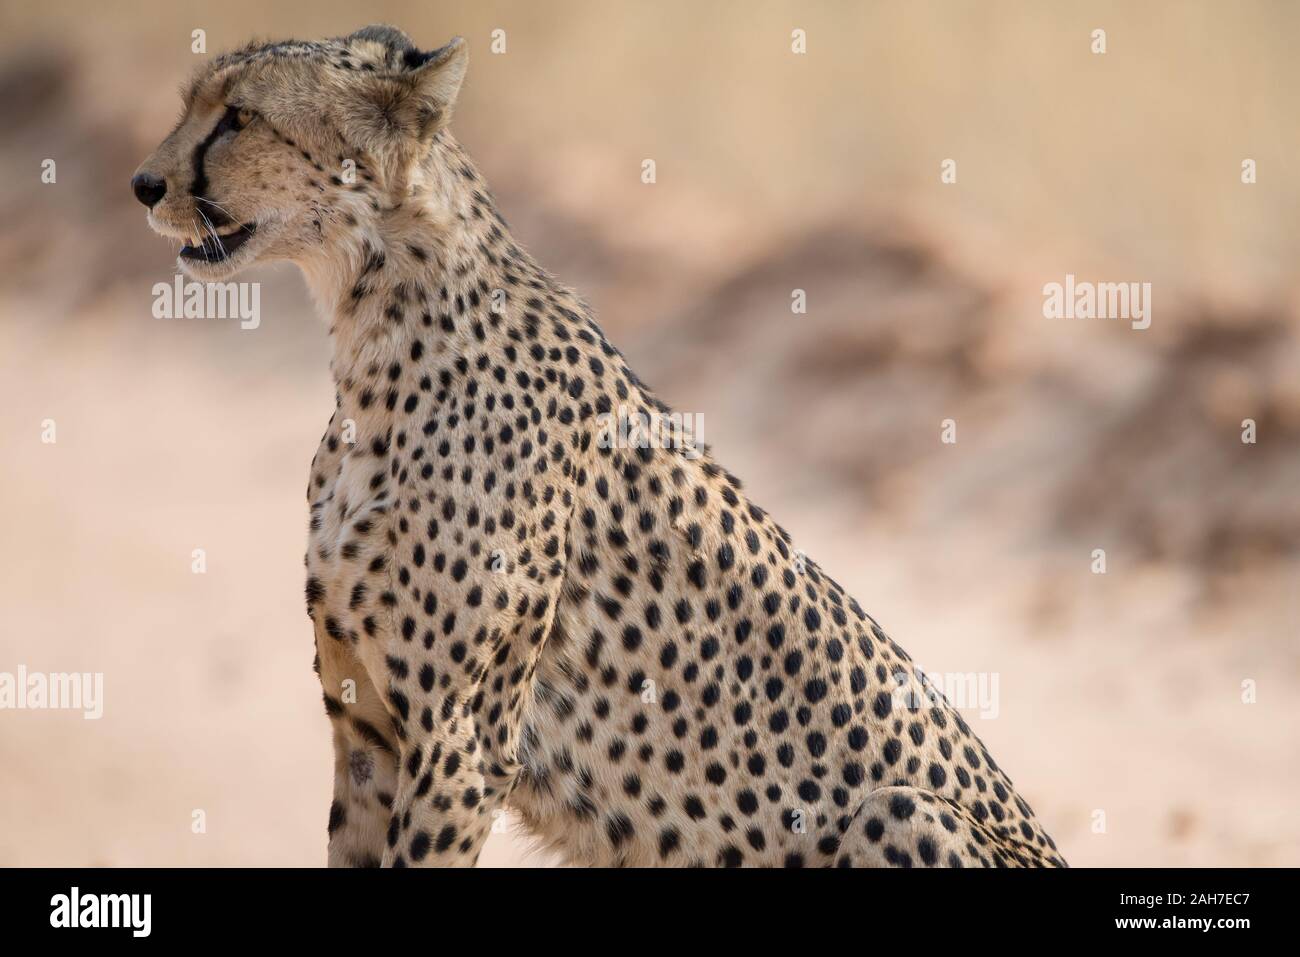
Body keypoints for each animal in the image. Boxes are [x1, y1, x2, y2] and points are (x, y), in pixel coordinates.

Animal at [131, 27, 1066, 868]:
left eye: (240, 117)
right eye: (196, 105)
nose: (143, 183)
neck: (378, 335)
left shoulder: (463, 744)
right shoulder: (366, 730)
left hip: (901, 809)